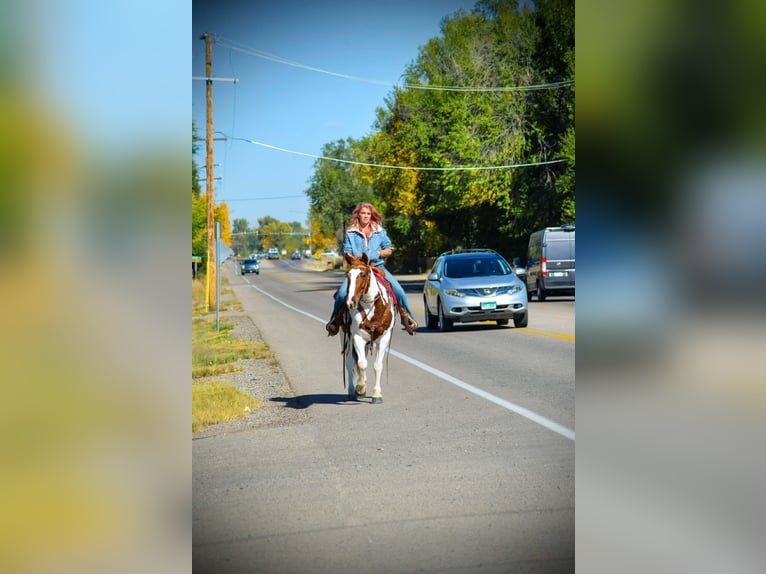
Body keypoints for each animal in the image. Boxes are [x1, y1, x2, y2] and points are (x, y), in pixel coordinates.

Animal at [340, 252, 396, 404]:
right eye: (347, 274)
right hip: (345, 336)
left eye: (363, 274)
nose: (350, 302)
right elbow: (361, 364)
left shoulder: (383, 338)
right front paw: (360, 388)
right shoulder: (357, 337)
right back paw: (353, 391)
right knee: (349, 362)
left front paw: (376, 394)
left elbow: (377, 365)